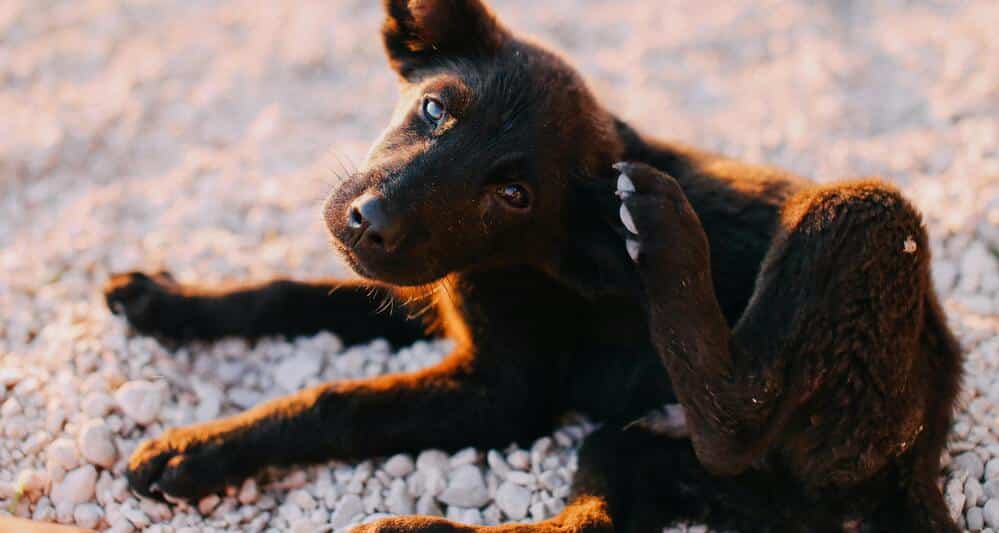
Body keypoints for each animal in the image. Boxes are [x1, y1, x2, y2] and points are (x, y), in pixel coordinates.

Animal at [101, 2, 960, 528]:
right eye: (434, 109)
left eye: (513, 194)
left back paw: (663, 233)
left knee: (735, 416)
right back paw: (414, 528)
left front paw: (197, 449)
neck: (516, 257)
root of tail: (931, 417)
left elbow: (338, 401)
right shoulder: (422, 293)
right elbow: (286, 293)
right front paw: (165, 301)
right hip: (657, 457)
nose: (367, 220)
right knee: (594, 512)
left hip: (864, 217)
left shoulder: (502, 392)